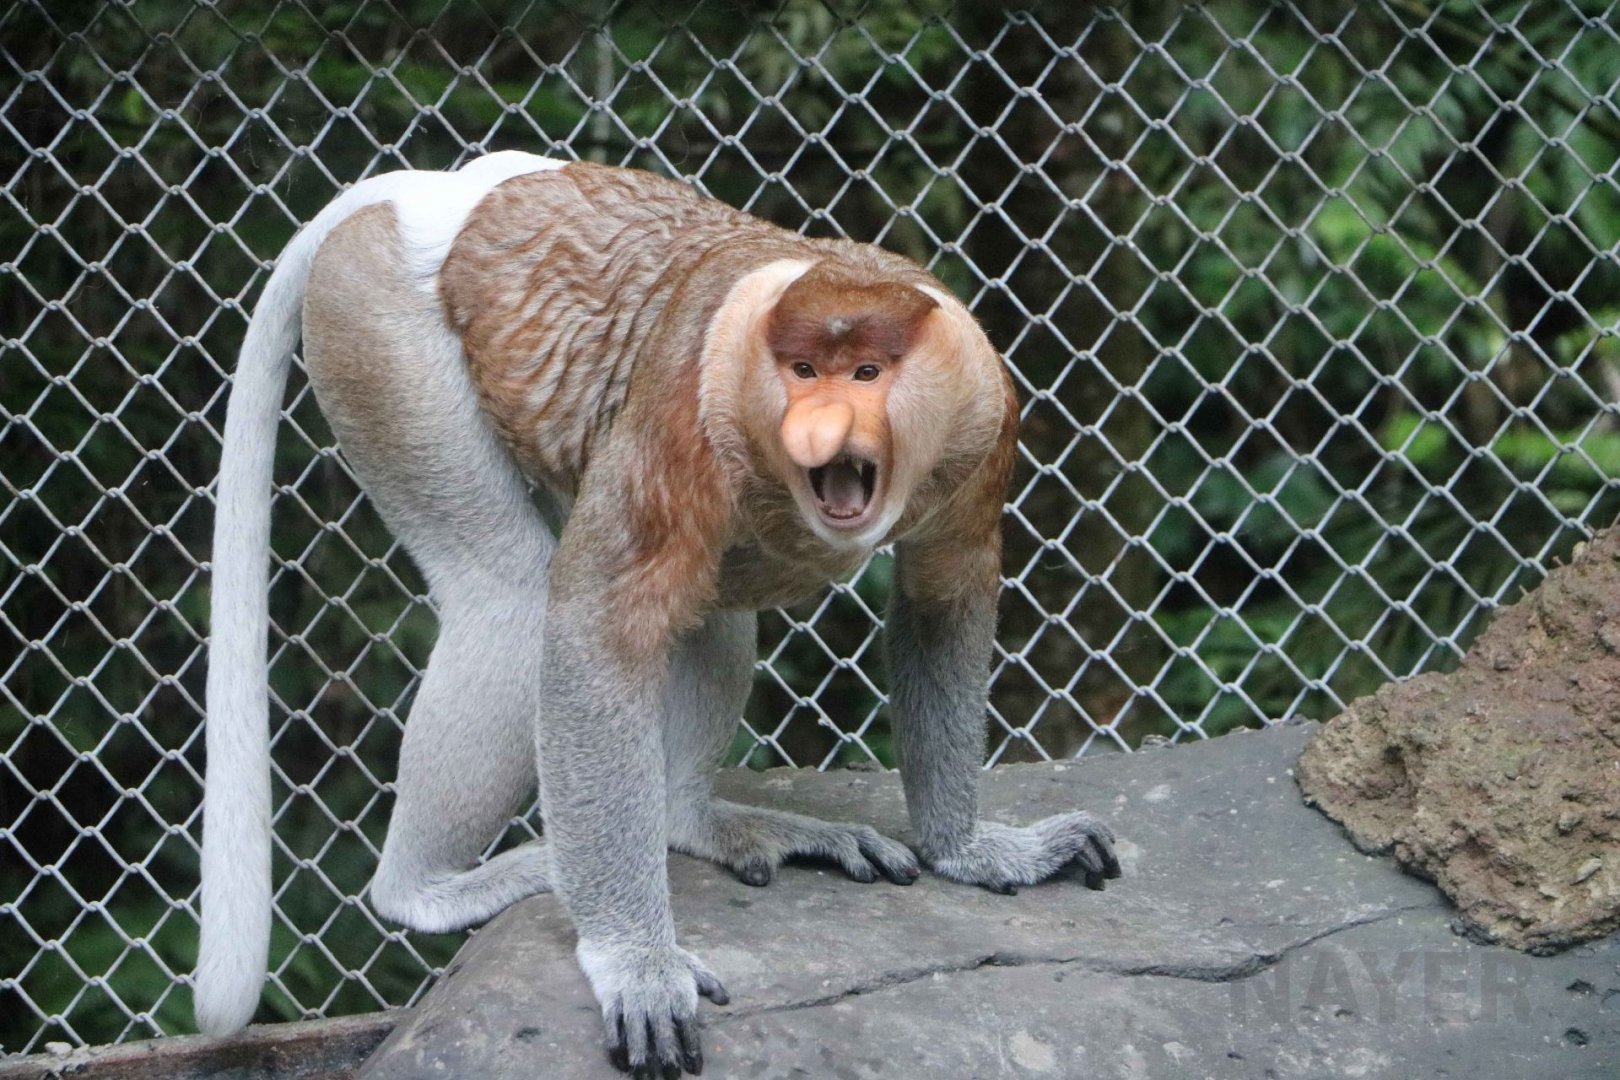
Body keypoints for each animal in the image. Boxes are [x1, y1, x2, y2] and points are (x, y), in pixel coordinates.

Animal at [194, 150, 1121, 1078]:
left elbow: (941, 603)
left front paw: (974, 851)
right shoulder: (681, 409)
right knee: (513, 596)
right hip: (378, 328)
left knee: (711, 613)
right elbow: (595, 630)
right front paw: (637, 966)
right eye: (802, 372)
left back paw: (690, 821)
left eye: (867, 372)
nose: (818, 431)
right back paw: (430, 894)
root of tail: (429, 190)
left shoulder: (982, 420)